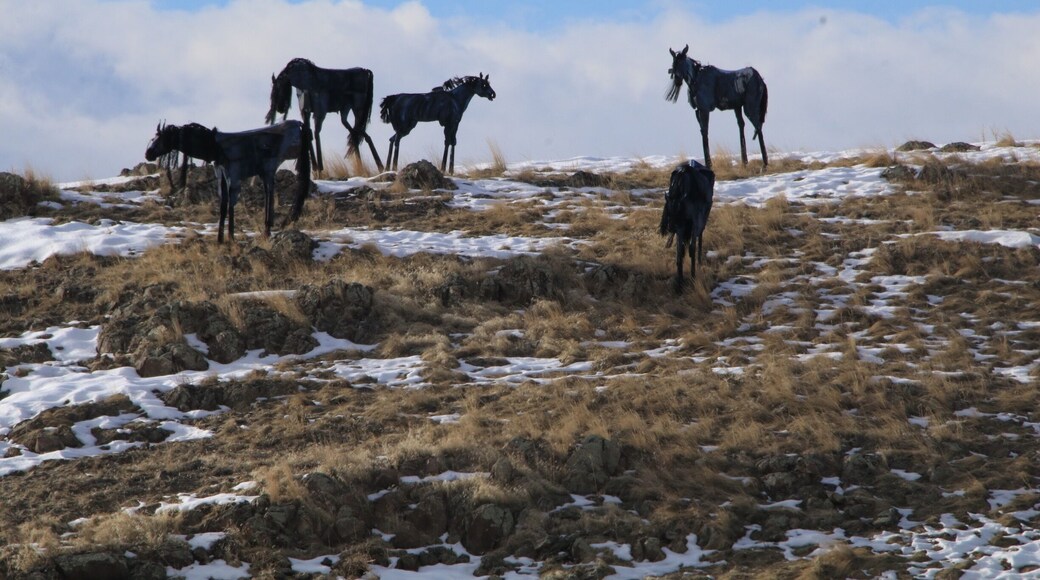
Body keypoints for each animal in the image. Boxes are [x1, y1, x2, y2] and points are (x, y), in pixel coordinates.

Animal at [145, 120, 312, 243]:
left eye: (161, 138)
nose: (148, 154)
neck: (214, 146)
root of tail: (299, 124)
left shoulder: (233, 175)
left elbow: (231, 205)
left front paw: (230, 238)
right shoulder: (222, 176)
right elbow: (223, 206)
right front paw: (220, 239)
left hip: (269, 168)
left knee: (269, 194)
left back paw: (267, 230)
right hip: (267, 171)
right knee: (269, 193)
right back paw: (267, 230)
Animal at [659, 160, 715, 292]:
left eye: (678, 209)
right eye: (668, 211)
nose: (670, 227)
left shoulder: (689, 224)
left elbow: (686, 249)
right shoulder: (689, 225)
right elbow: (685, 250)